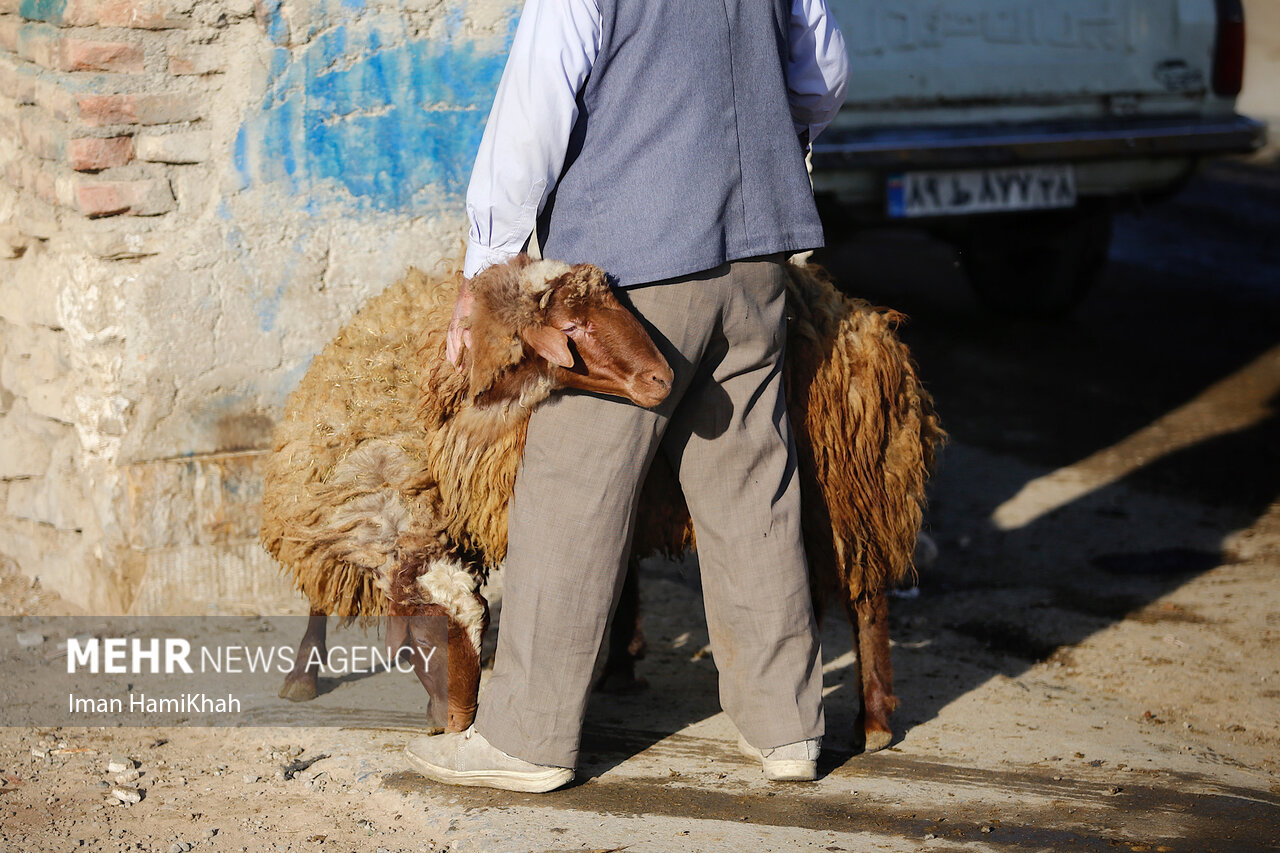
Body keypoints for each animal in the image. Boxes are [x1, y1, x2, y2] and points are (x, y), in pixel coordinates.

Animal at [262, 253, 942, 753]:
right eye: (413, 648)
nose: (457, 725)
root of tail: (858, 315)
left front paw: (301, 677)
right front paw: (303, 675)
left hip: (853, 484)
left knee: (867, 596)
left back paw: (874, 722)